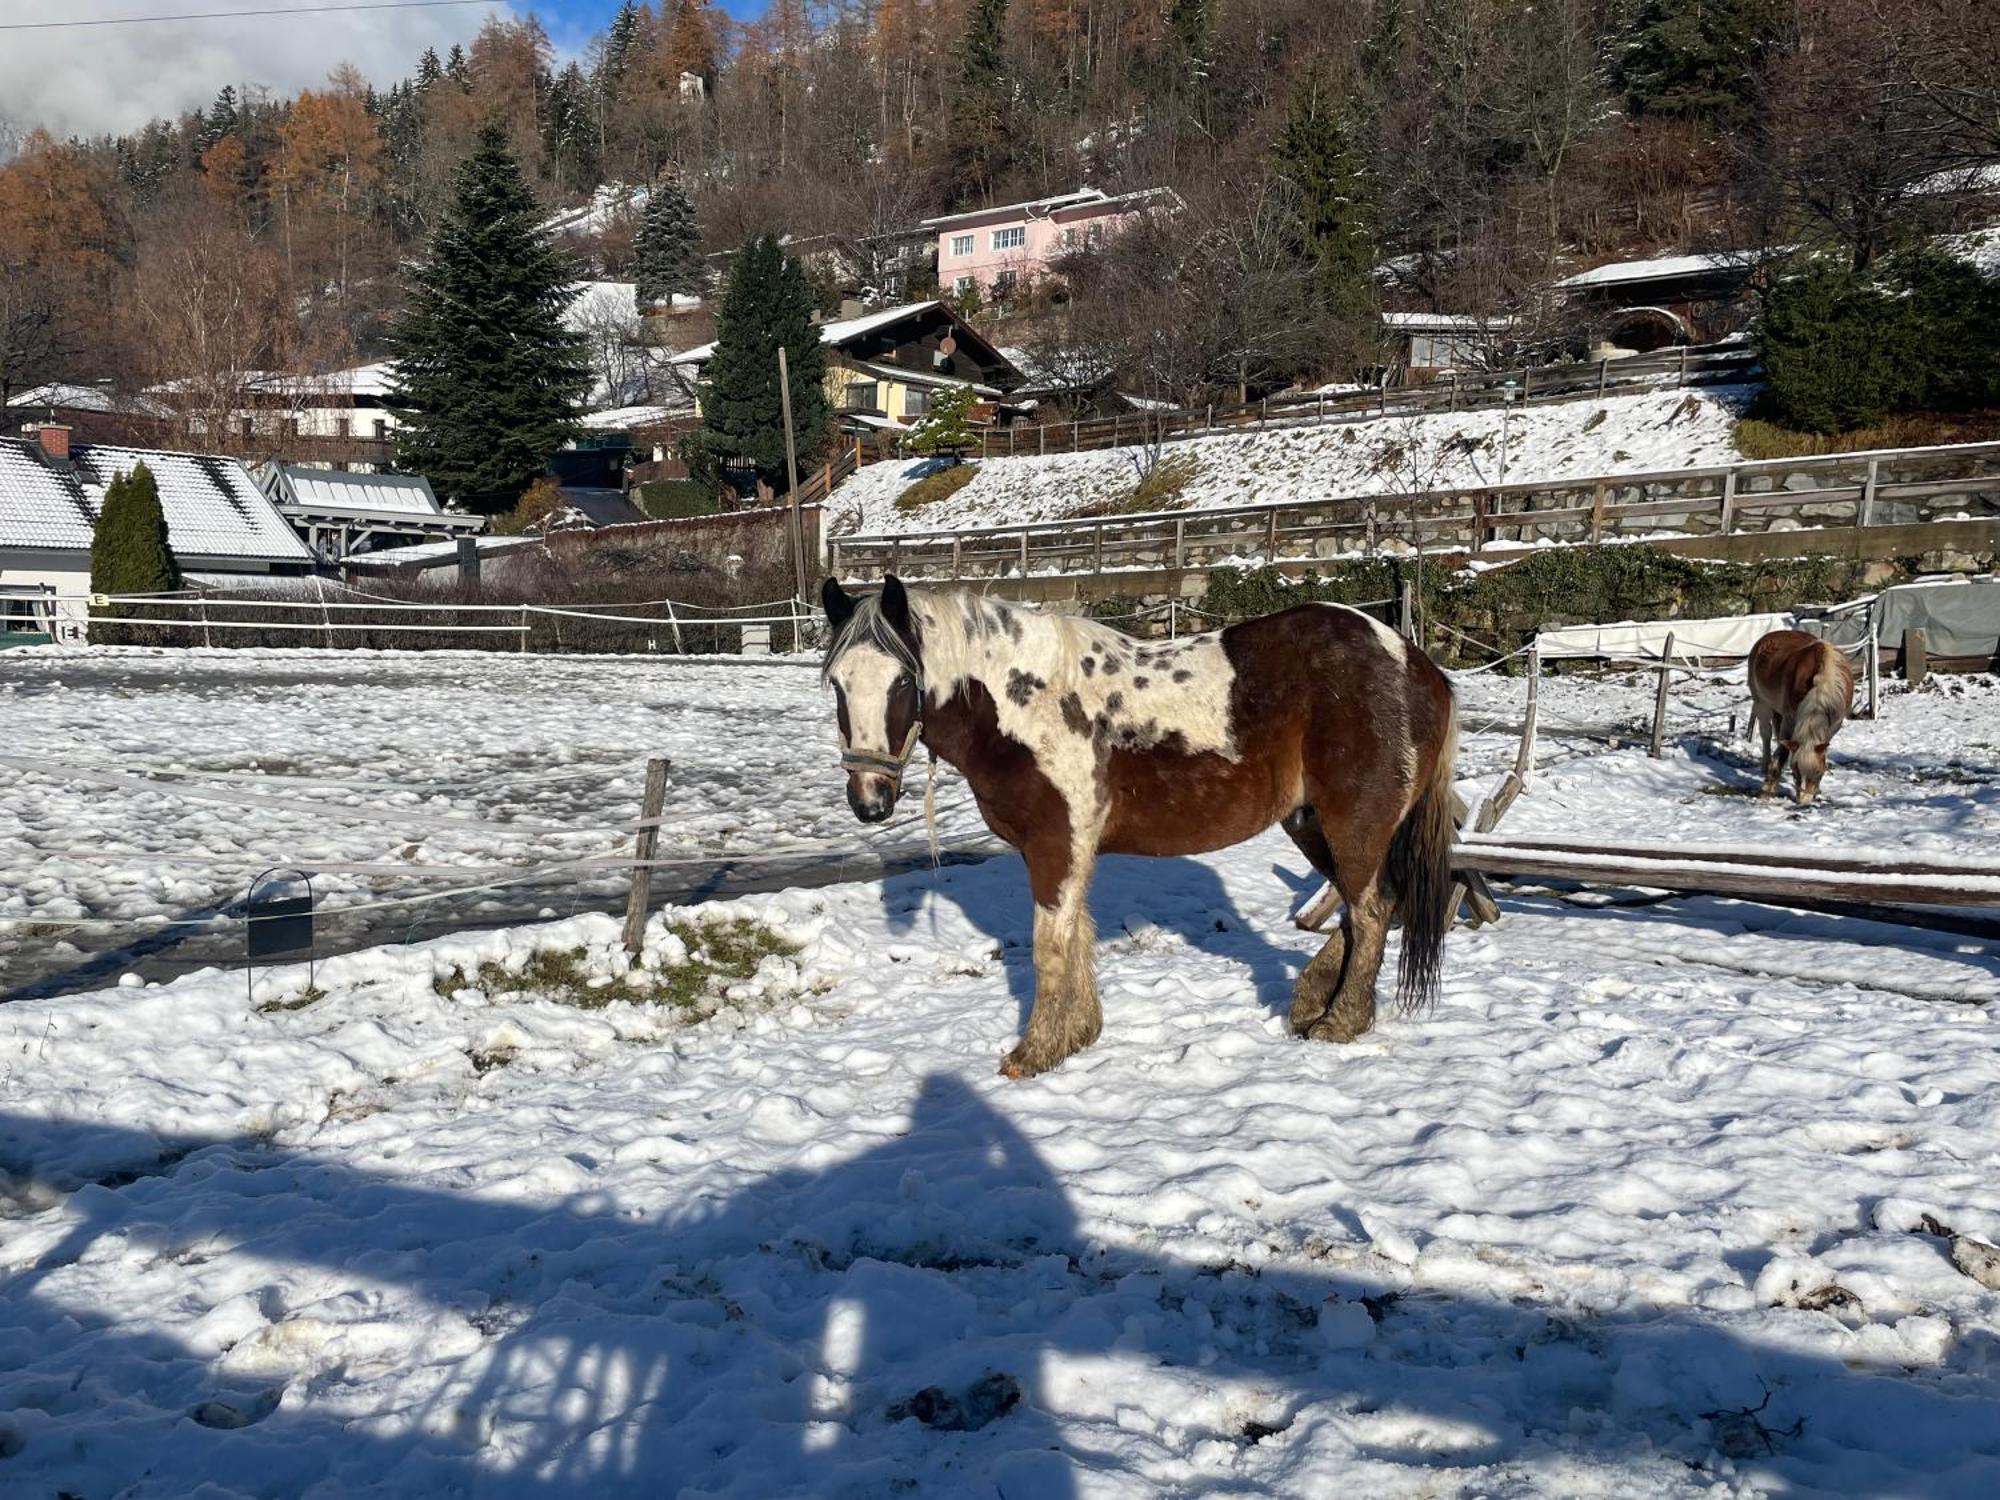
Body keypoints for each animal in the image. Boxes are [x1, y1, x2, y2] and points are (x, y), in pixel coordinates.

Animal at [820, 576, 1464, 1080]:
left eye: (902, 682)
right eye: (837, 683)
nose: (869, 800)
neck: (1027, 704)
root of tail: (1417, 665)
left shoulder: (1057, 844)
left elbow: (1050, 944)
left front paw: (1035, 1052)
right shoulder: (1066, 849)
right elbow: (1075, 935)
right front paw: (1077, 1036)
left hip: (1353, 823)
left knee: (1372, 909)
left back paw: (1339, 1021)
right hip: (1310, 825)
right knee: (1365, 910)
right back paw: (1312, 1002)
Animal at [1752, 628, 1856, 804]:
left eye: (1818, 772)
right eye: (1796, 771)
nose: (1803, 801)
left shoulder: (1834, 726)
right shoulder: (1790, 718)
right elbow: (1782, 751)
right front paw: (1768, 789)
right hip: (1761, 703)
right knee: (1766, 735)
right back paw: (1765, 764)